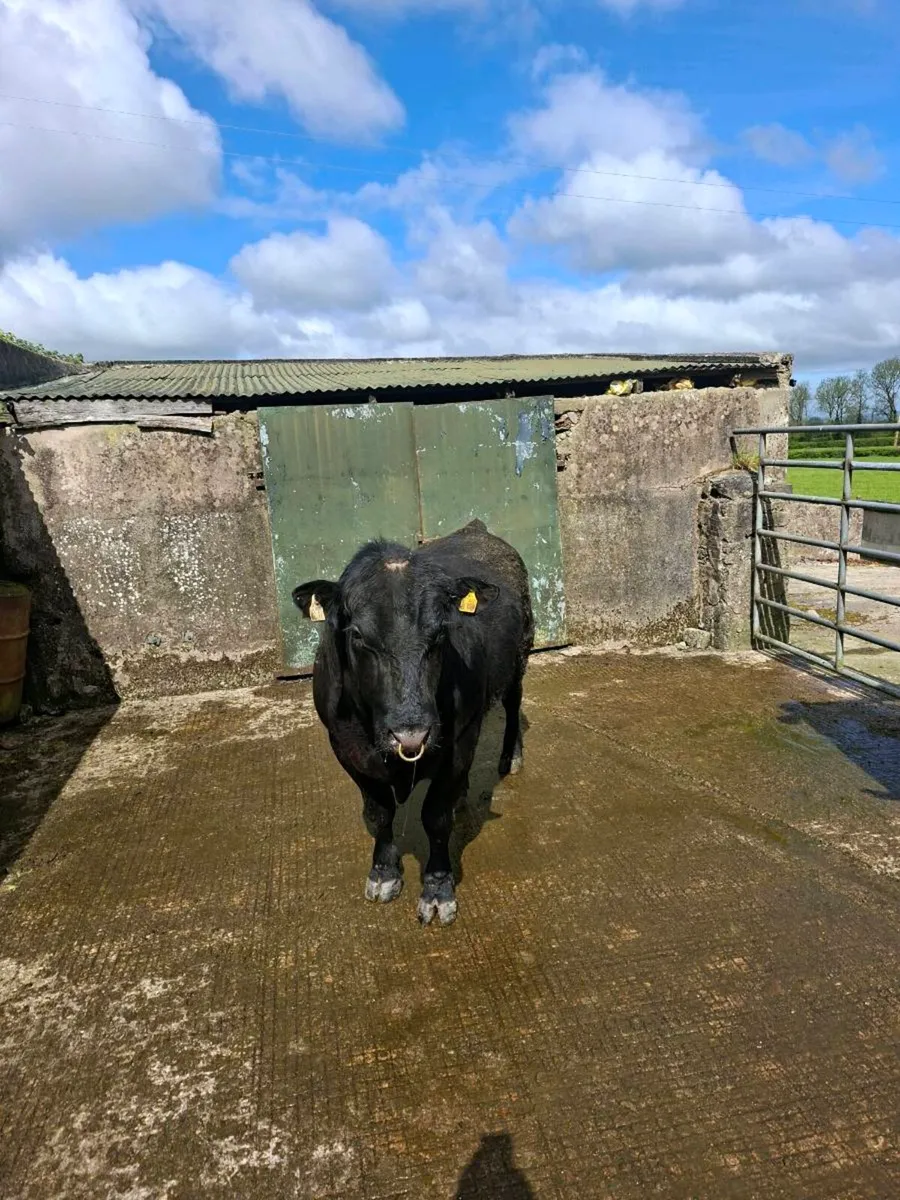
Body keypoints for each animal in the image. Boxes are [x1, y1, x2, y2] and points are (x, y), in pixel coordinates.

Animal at [292, 519, 534, 927]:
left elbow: (435, 817)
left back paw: (510, 757)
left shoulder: (459, 739)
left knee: (513, 702)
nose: (411, 733)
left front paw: (437, 891)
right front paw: (383, 873)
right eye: (358, 635)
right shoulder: (344, 745)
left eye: (440, 634)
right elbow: (378, 813)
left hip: (519, 655)